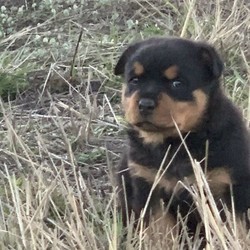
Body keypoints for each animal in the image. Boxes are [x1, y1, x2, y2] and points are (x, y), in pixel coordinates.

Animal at [114, 37, 250, 242]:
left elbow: (236, 230)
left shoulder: (229, 189)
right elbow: (159, 233)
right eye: (134, 80)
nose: (145, 104)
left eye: (177, 83)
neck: (174, 142)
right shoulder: (149, 187)